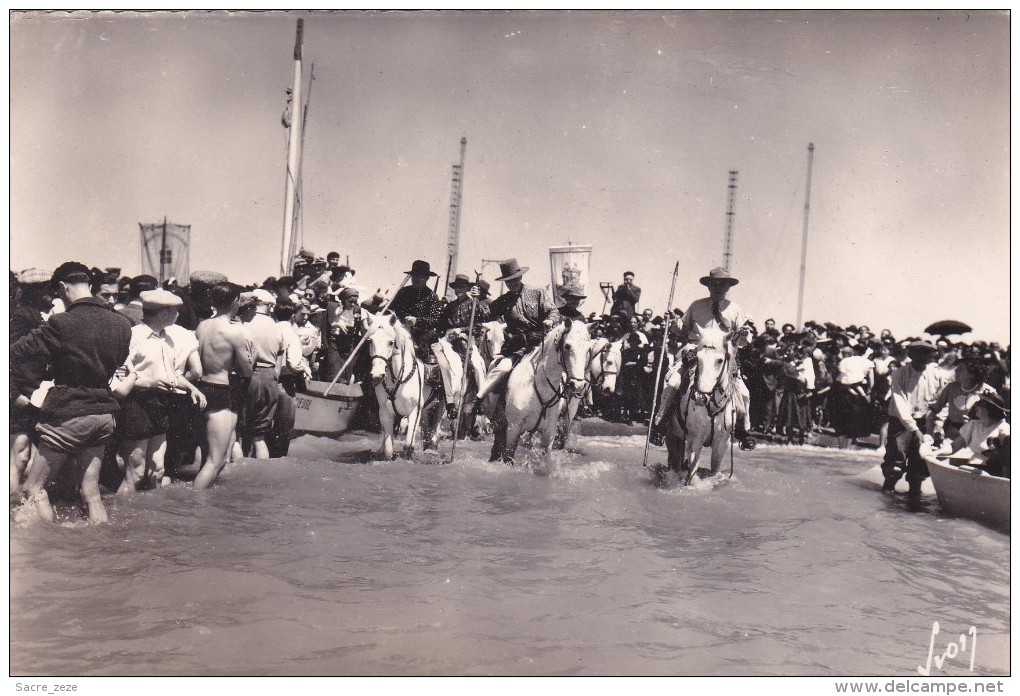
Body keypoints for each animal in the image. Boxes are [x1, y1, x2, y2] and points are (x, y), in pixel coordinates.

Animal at [365, 312, 440, 457]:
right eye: (370, 341)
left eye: (390, 342)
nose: (377, 375)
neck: (397, 379)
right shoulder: (385, 412)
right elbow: (388, 450)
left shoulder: (414, 411)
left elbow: (408, 445)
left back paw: (433, 444)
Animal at [665, 324, 738, 481]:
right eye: (698, 358)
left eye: (720, 360)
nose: (700, 397)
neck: (712, 408)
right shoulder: (694, 442)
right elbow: (691, 473)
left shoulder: (721, 445)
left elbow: (714, 471)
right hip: (673, 437)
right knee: (674, 462)